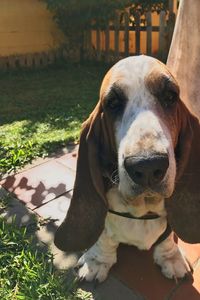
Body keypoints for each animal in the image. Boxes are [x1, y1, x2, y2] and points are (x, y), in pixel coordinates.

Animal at [54, 55, 200, 282]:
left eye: (170, 96)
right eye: (112, 103)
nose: (148, 165)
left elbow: (168, 235)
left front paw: (170, 257)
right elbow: (104, 233)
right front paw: (98, 261)